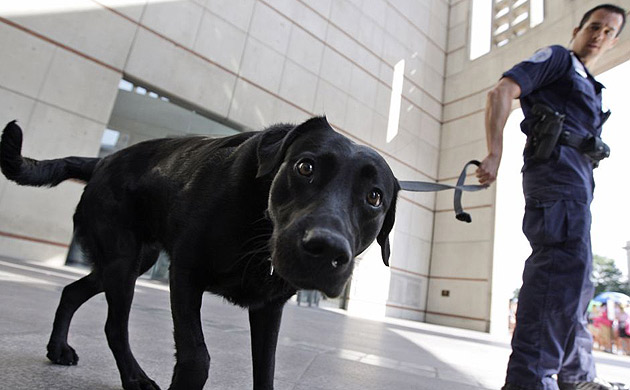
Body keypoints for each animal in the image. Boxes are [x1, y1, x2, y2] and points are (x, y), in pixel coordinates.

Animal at [0, 117, 402, 390]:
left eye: (374, 197)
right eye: (306, 167)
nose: (326, 249)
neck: (259, 227)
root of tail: (101, 161)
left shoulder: (269, 307)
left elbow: (266, 369)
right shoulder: (185, 274)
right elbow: (197, 358)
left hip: (133, 261)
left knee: (72, 291)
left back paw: (58, 348)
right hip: (122, 260)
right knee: (114, 326)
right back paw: (136, 378)